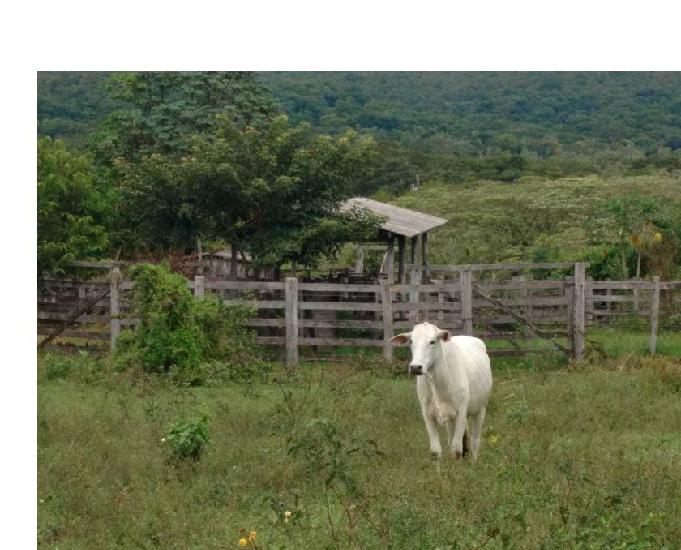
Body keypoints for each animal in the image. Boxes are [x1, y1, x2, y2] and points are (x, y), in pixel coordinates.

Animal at [390, 324, 492, 462]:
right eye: (411, 342)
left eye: (432, 342)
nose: (415, 367)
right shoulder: (427, 414)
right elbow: (436, 450)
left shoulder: (461, 412)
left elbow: (456, 451)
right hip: (451, 420)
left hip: (481, 409)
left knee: (475, 442)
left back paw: (473, 463)